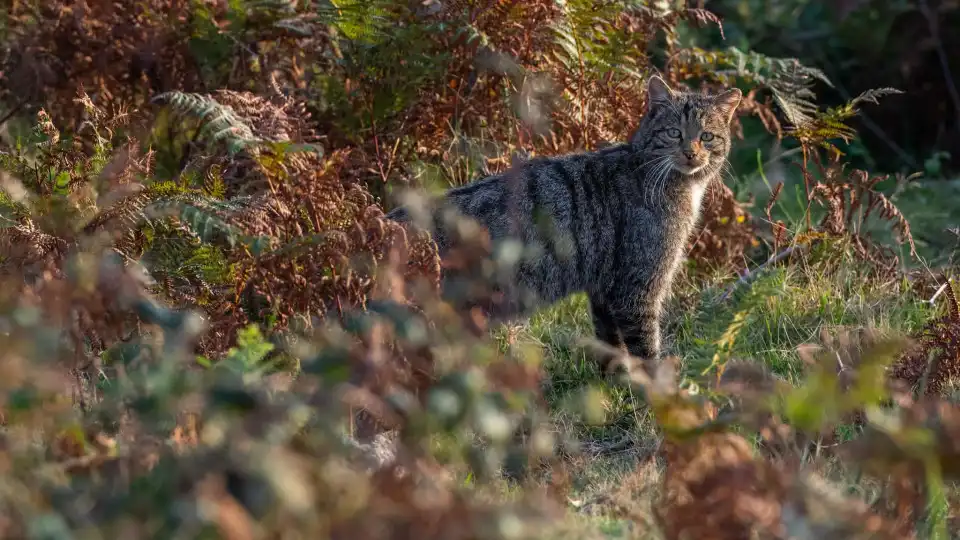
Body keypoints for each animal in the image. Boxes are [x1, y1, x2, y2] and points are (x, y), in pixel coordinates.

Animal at [388, 75, 744, 372]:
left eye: (707, 137)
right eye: (674, 133)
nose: (691, 153)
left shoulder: (604, 291)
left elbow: (610, 345)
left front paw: (615, 382)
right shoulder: (636, 290)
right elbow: (646, 350)